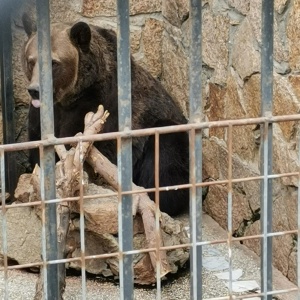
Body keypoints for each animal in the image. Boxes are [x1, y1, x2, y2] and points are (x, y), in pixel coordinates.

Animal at [22, 14, 189, 216]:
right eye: (31, 61)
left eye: (54, 63)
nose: (35, 90)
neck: (67, 99)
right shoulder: (43, 114)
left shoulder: (95, 106)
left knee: (167, 149)